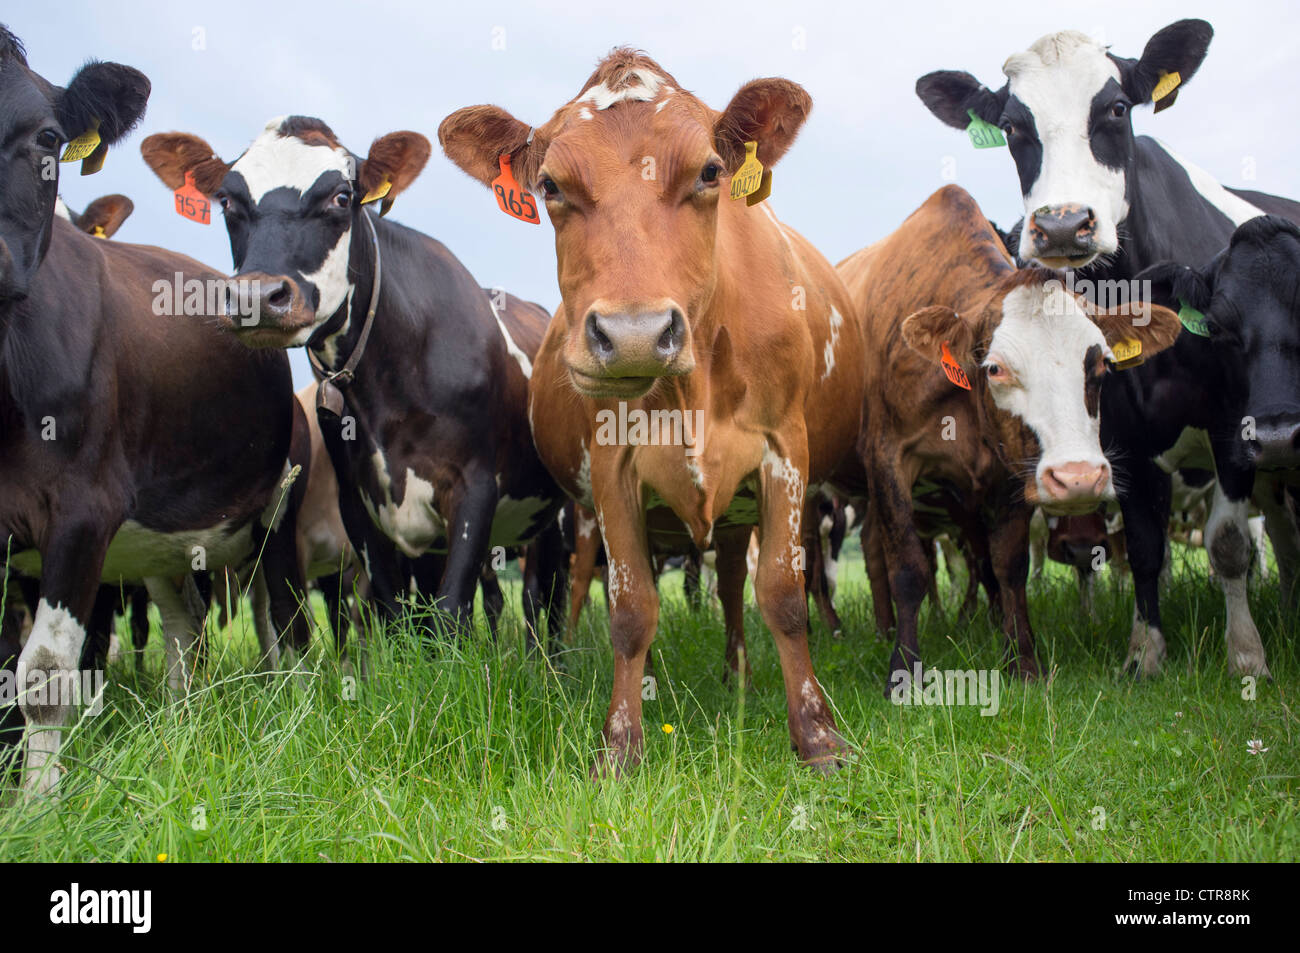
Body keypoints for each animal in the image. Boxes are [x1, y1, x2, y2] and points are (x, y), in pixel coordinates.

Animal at [0, 26, 306, 790]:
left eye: (47, 138)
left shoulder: (82, 509)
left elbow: (44, 671)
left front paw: (38, 800)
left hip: (273, 517)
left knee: (279, 620)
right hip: (161, 537)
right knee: (186, 623)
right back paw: (178, 721)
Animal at [143, 115, 569, 650]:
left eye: (341, 197)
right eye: (226, 201)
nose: (258, 296)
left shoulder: (475, 486)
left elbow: (451, 610)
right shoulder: (361, 502)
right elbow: (396, 614)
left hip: (556, 514)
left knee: (542, 596)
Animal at [441, 50, 868, 774]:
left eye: (710, 173)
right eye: (550, 185)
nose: (635, 334)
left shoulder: (784, 451)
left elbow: (783, 595)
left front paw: (816, 737)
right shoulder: (613, 468)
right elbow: (630, 607)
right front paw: (619, 747)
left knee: (733, 583)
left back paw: (736, 672)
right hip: (585, 511)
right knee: (585, 585)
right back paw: (571, 669)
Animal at [842, 185, 1190, 691]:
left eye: (1102, 364)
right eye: (996, 368)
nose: (1078, 477)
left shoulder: (1013, 472)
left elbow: (1009, 566)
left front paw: (1021, 659)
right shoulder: (887, 459)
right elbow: (908, 567)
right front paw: (903, 671)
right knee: (873, 549)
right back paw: (882, 629)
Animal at [915, 20, 1300, 676]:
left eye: (1117, 109)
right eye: (1012, 127)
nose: (1062, 225)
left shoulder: (1236, 427)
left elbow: (1228, 546)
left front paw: (1247, 656)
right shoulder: (1123, 438)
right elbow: (1143, 549)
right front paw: (1145, 653)